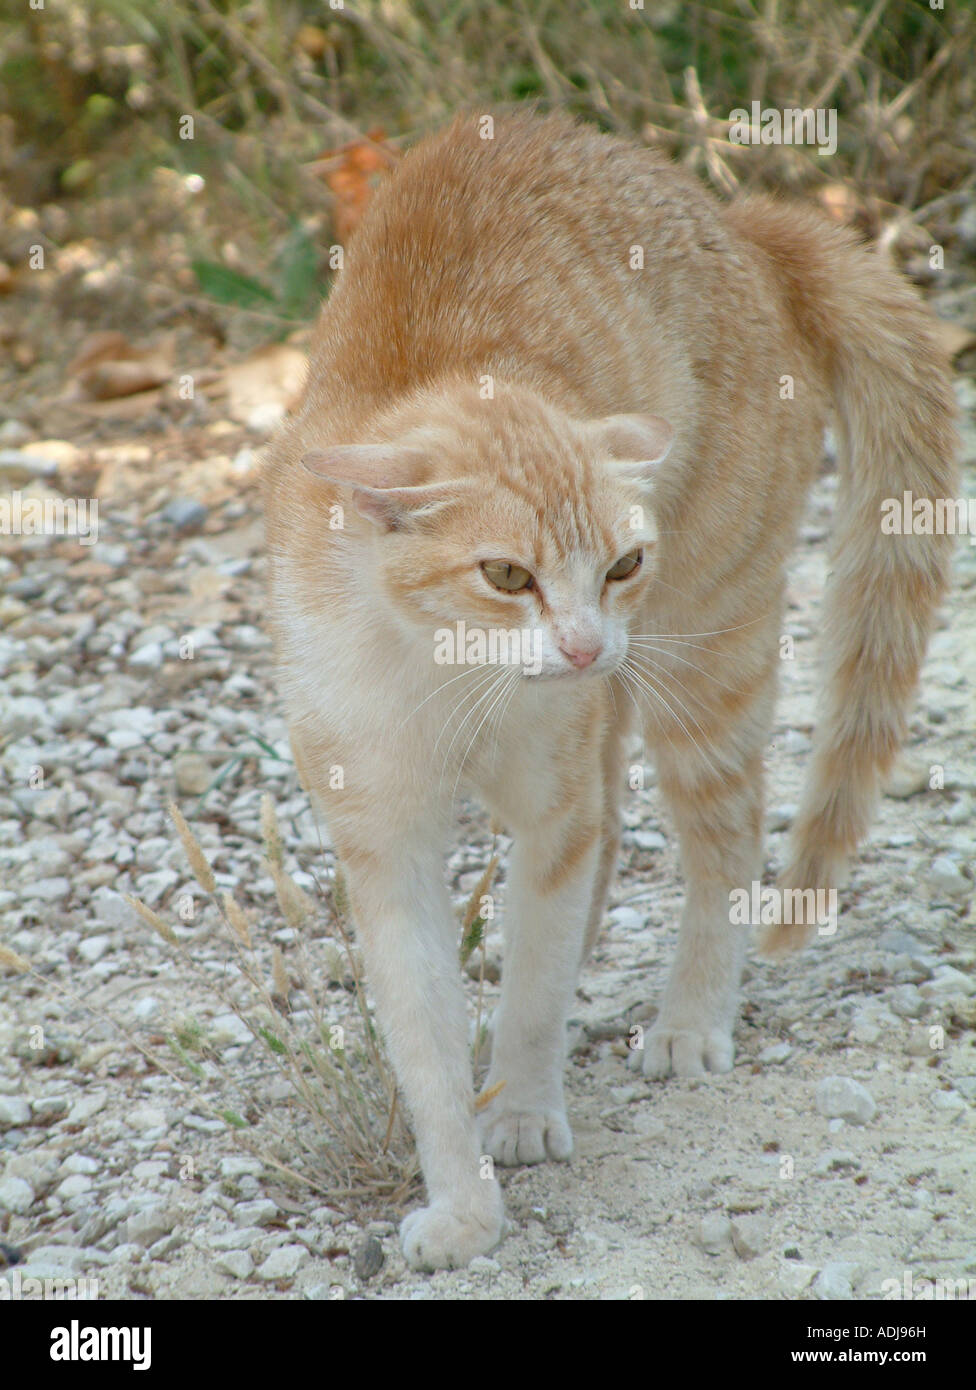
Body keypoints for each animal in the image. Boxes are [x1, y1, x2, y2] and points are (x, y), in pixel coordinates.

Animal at [261, 108, 962, 1273]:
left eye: (622, 564)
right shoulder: (384, 848)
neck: (446, 672)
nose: (588, 646)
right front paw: (463, 1198)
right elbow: (426, 1039)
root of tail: (738, 218)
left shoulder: (554, 809)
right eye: (507, 574)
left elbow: (537, 989)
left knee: (723, 840)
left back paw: (689, 1019)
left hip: (706, 665)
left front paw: (523, 1106)